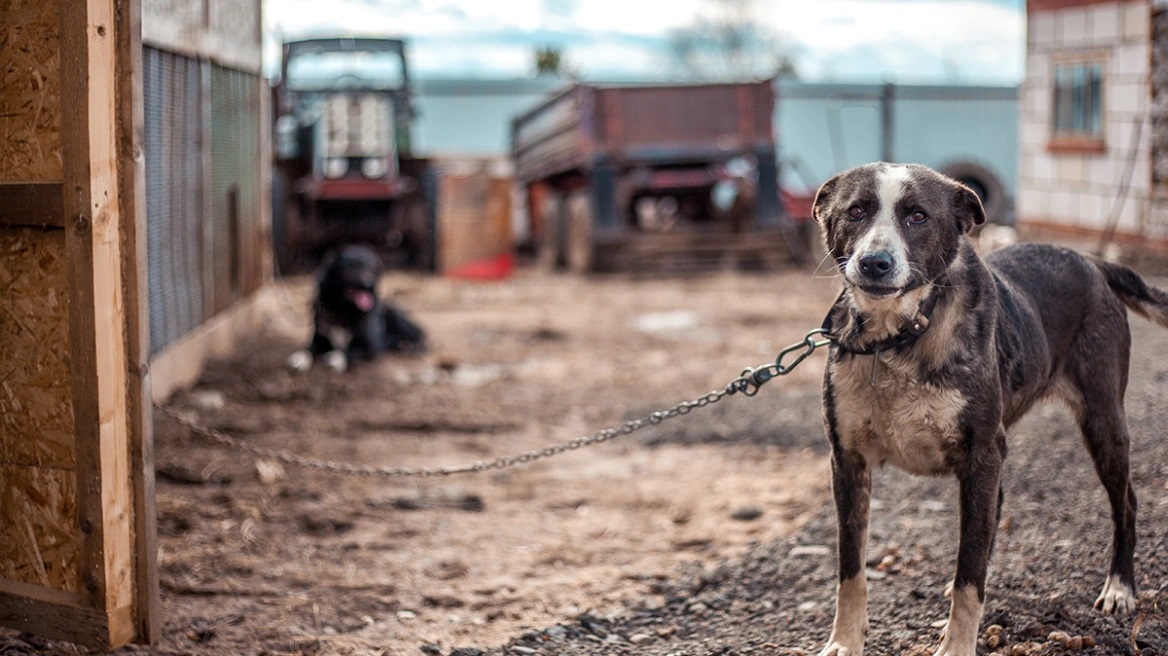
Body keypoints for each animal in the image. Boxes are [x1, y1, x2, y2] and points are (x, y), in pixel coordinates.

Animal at [284, 242, 427, 371]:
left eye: (371, 269)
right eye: (351, 268)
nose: (369, 283)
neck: (343, 308)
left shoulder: (369, 345)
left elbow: (349, 350)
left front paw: (337, 358)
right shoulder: (319, 339)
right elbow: (309, 348)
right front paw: (299, 358)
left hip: (394, 312)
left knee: (420, 334)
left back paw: (414, 346)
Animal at [812, 162, 1168, 653]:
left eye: (918, 216)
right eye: (856, 211)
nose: (874, 263)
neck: (899, 337)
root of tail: (1091, 261)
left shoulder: (981, 455)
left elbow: (969, 578)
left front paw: (957, 645)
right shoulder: (847, 460)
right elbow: (851, 568)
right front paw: (845, 641)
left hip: (1103, 422)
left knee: (1126, 502)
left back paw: (1119, 587)